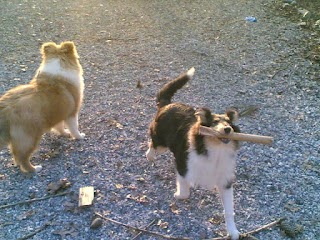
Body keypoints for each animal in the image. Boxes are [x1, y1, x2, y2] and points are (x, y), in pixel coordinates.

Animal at [0, 41, 84, 172]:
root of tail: (4, 110)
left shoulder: (57, 111)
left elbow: (59, 127)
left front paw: (64, 133)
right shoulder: (72, 113)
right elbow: (74, 128)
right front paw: (79, 136)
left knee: (16, 155)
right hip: (30, 137)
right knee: (22, 157)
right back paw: (35, 169)